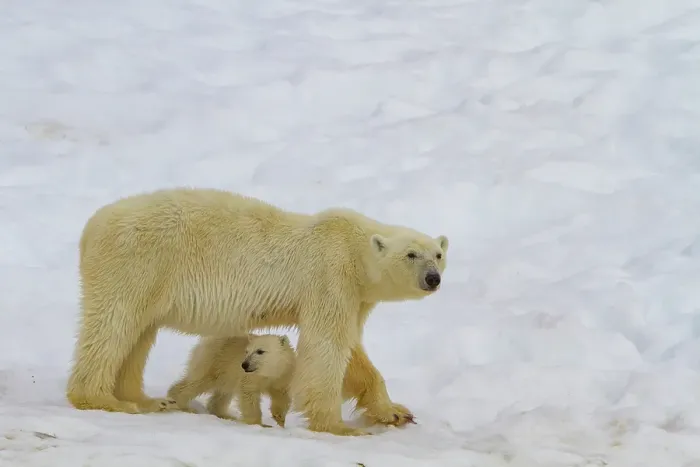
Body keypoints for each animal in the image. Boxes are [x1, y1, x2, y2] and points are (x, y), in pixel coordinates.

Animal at [167, 333, 296, 428]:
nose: (244, 365)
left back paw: (226, 415)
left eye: (260, 351)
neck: (269, 373)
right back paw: (183, 406)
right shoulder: (250, 378)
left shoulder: (284, 376)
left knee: (223, 392)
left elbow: (281, 396)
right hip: (215, 361)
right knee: (198, 381)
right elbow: (249, 395)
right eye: (247, 351)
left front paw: (280, 420)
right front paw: (259, 425)